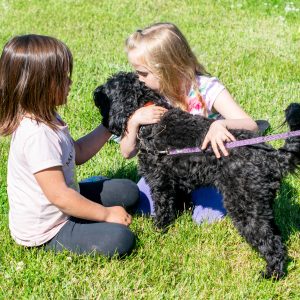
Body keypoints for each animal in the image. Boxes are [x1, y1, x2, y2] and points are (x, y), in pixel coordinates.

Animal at [95, 72, 300, 278]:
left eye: (107, 88)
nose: (95, 91)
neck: (152, 118)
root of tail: (272, 157)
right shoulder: (175, 182)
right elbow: (174, 205)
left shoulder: (159, 182)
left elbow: (162, 209)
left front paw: (158, 230)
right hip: (261, 205)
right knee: (277, 236)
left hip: (246, 206)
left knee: (269, 241)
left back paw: (272, 273)